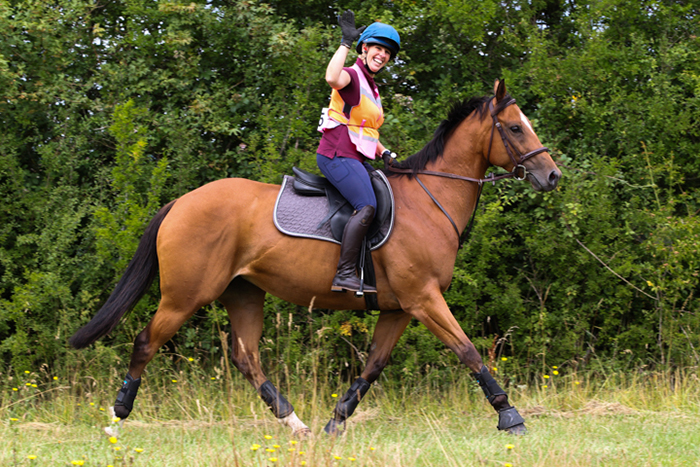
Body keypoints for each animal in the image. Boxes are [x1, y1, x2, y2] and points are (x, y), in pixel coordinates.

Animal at [71, 78, 560, 436]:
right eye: (515, 128)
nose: (552, 175)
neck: (428, 199)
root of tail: (180, 202)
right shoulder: (423, 299)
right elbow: (468, 351)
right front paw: (510, 415)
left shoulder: (400, 307)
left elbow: (373, 367)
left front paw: (336, 421)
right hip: (185, 295)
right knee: (145, 343)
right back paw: (116, 418)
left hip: (242, 293)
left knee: (247, 358)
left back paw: (296, 423)